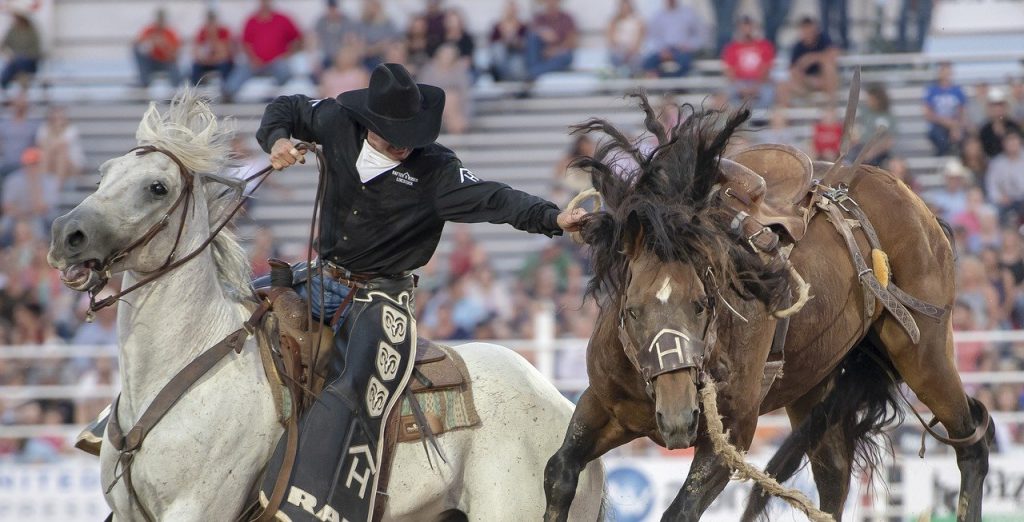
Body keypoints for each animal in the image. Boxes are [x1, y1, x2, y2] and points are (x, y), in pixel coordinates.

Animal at [48, 91, 602, 519]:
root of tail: (562, 407)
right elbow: (296, 107)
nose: (65, 235)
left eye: (157, 187)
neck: (193, 358)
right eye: (103, 174)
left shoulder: (197, 508)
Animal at [544, 95, 991, 519]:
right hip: (815, 383)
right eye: (632, 311)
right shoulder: (601, 406)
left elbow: (679, 511)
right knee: (834, 478)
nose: (677, 418)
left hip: (923, 352)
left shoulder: (734, 434)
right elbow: (559, 471)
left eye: (702, 305)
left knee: (972, 441)